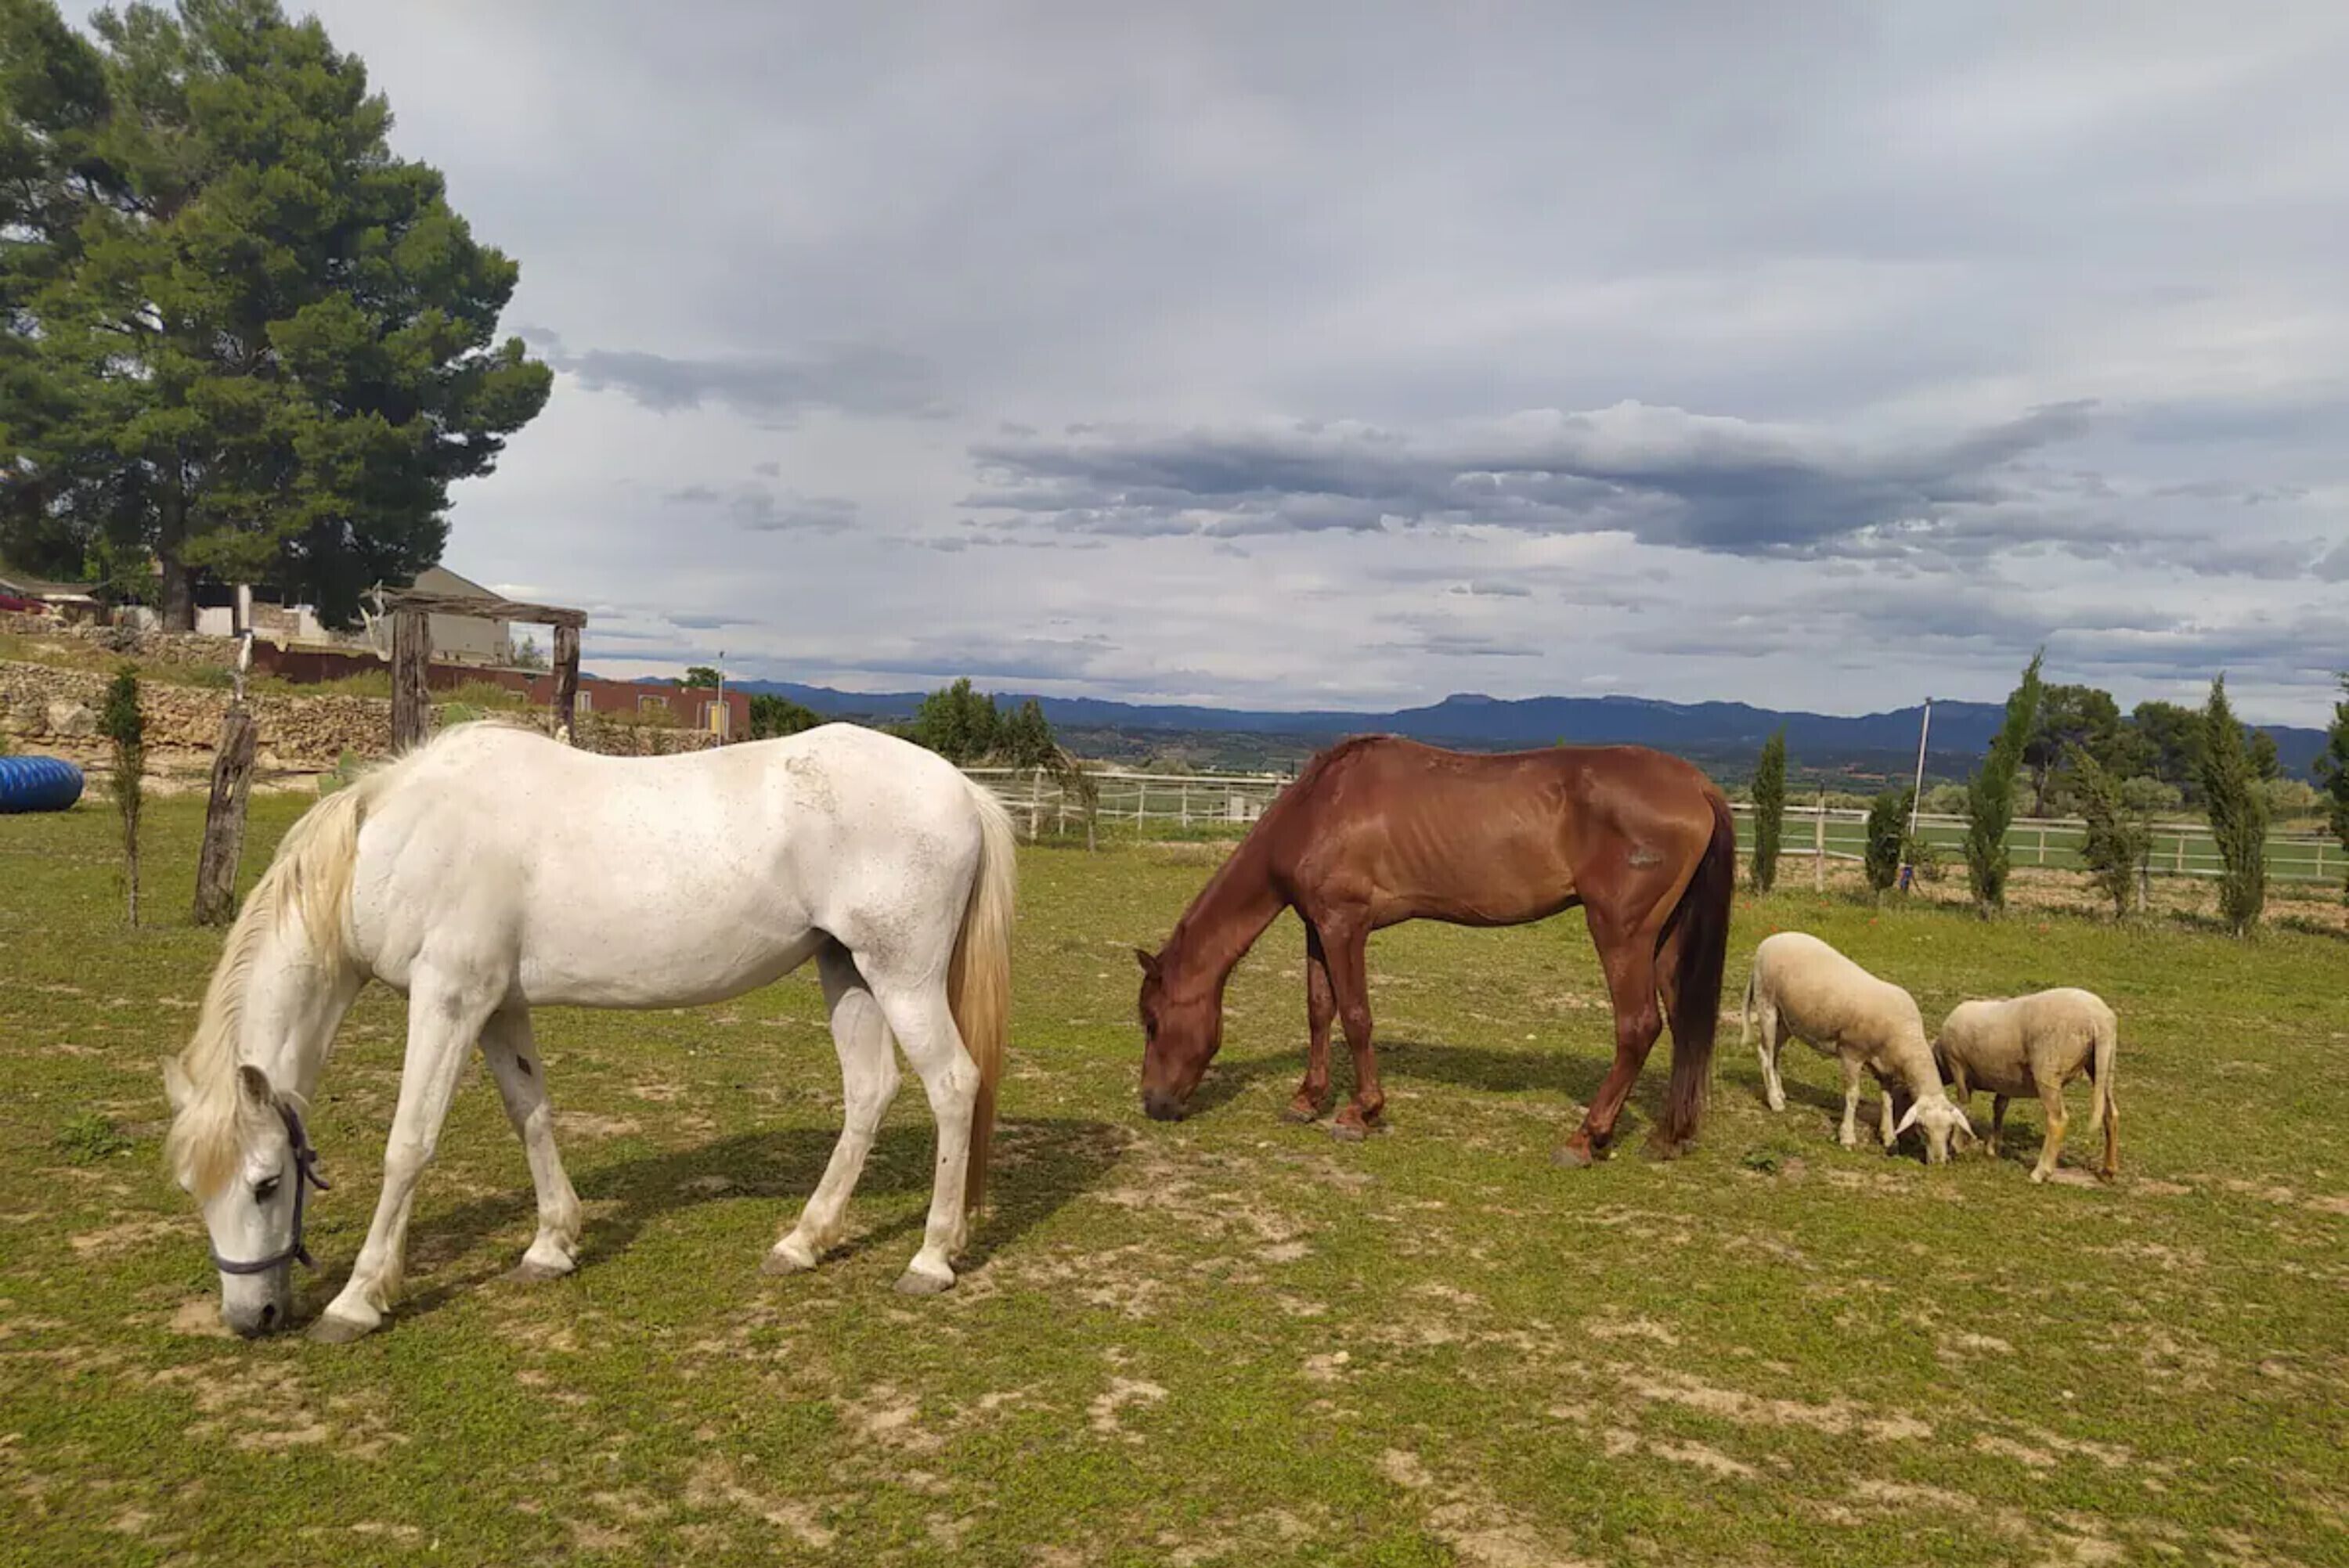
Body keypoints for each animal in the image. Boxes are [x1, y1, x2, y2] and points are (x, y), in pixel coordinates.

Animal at [161, 720, 1014, 1341]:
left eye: (267, 1182)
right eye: (194, 1188)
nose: (252, 1317)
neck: (399, 842)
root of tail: (962, 789)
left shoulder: (447, 1000)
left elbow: (409, 1144)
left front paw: (358, 1297)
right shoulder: (497, 1006)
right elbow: (531, 1114)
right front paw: (551, 1245)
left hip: (901, 975)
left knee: (951, 1085)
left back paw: (931, 1257)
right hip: (847, 971)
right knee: (869, 1091)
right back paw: (804, 1241)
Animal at [1135, 735, 1736, 1163]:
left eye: (1152, 1021)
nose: (1154, 1103)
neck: (1320, 808)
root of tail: (1698, 787)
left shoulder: (1345, 926)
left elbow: (1356, 1016)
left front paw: (1360, 1113)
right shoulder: (1316, 926)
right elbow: (1319, 1010)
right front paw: (1306, 1099)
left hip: (1620, 932)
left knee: (1638, 1027)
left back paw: (1586, 1138)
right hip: (1665, 938)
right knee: (1682, 1022)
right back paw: (1670, 1135)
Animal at [1740, 931, 1974, 1162]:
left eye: (1950, 1129)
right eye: (1923, 1128)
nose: (1939, 1162)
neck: (1905, 1038)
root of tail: (1770, 940)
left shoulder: (1884, 1067)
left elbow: (1887, 1101)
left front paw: (1889, 1137)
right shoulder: (1851, 1054)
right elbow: (1853, 1095)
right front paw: (1847, 1137)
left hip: (1787, 1019)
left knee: (1774, 1053)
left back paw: (1780, 1093)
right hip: (1767, 1003)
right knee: (1765, 1053)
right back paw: (1774, 1101)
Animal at [1932, 988, 2119, 1184]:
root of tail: (2099, 1020)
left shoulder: (1958, 1065)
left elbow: (1963, 1106)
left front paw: (1956, 1146)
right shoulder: (2005, 1079)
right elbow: (1999, 1109)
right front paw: (1992, 1148)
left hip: (2048, 1069)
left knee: (2057, 1119)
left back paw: (2040, 1172)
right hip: (2103, 1065)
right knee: (2110, 1113)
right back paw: (2108, 1171)